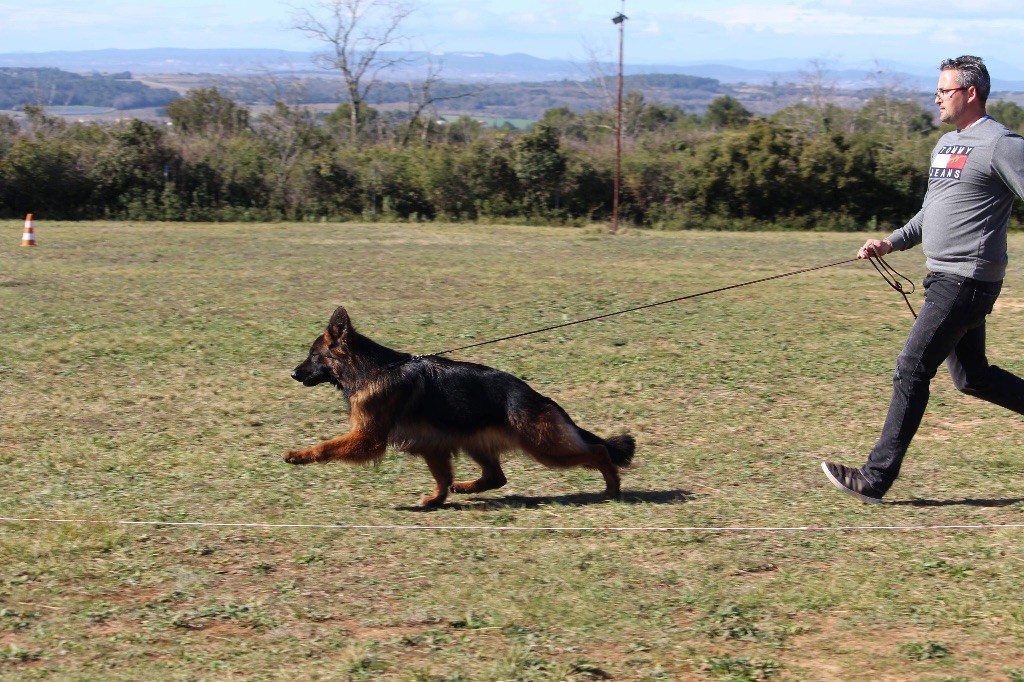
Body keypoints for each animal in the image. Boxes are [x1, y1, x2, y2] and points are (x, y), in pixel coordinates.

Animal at [282, 307, 630, 503]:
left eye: (314, 356)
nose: (293, 374)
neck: (369, 369)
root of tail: (540, 398)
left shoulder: (368, 439)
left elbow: (326, 446)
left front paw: (299, 455)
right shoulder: (431, 444)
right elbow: (441, 478)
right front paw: (436, 500)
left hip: (544, 447)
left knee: (599, 451)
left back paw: (613, 488)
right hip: (475, 440)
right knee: (496, 477)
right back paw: (464, 488)